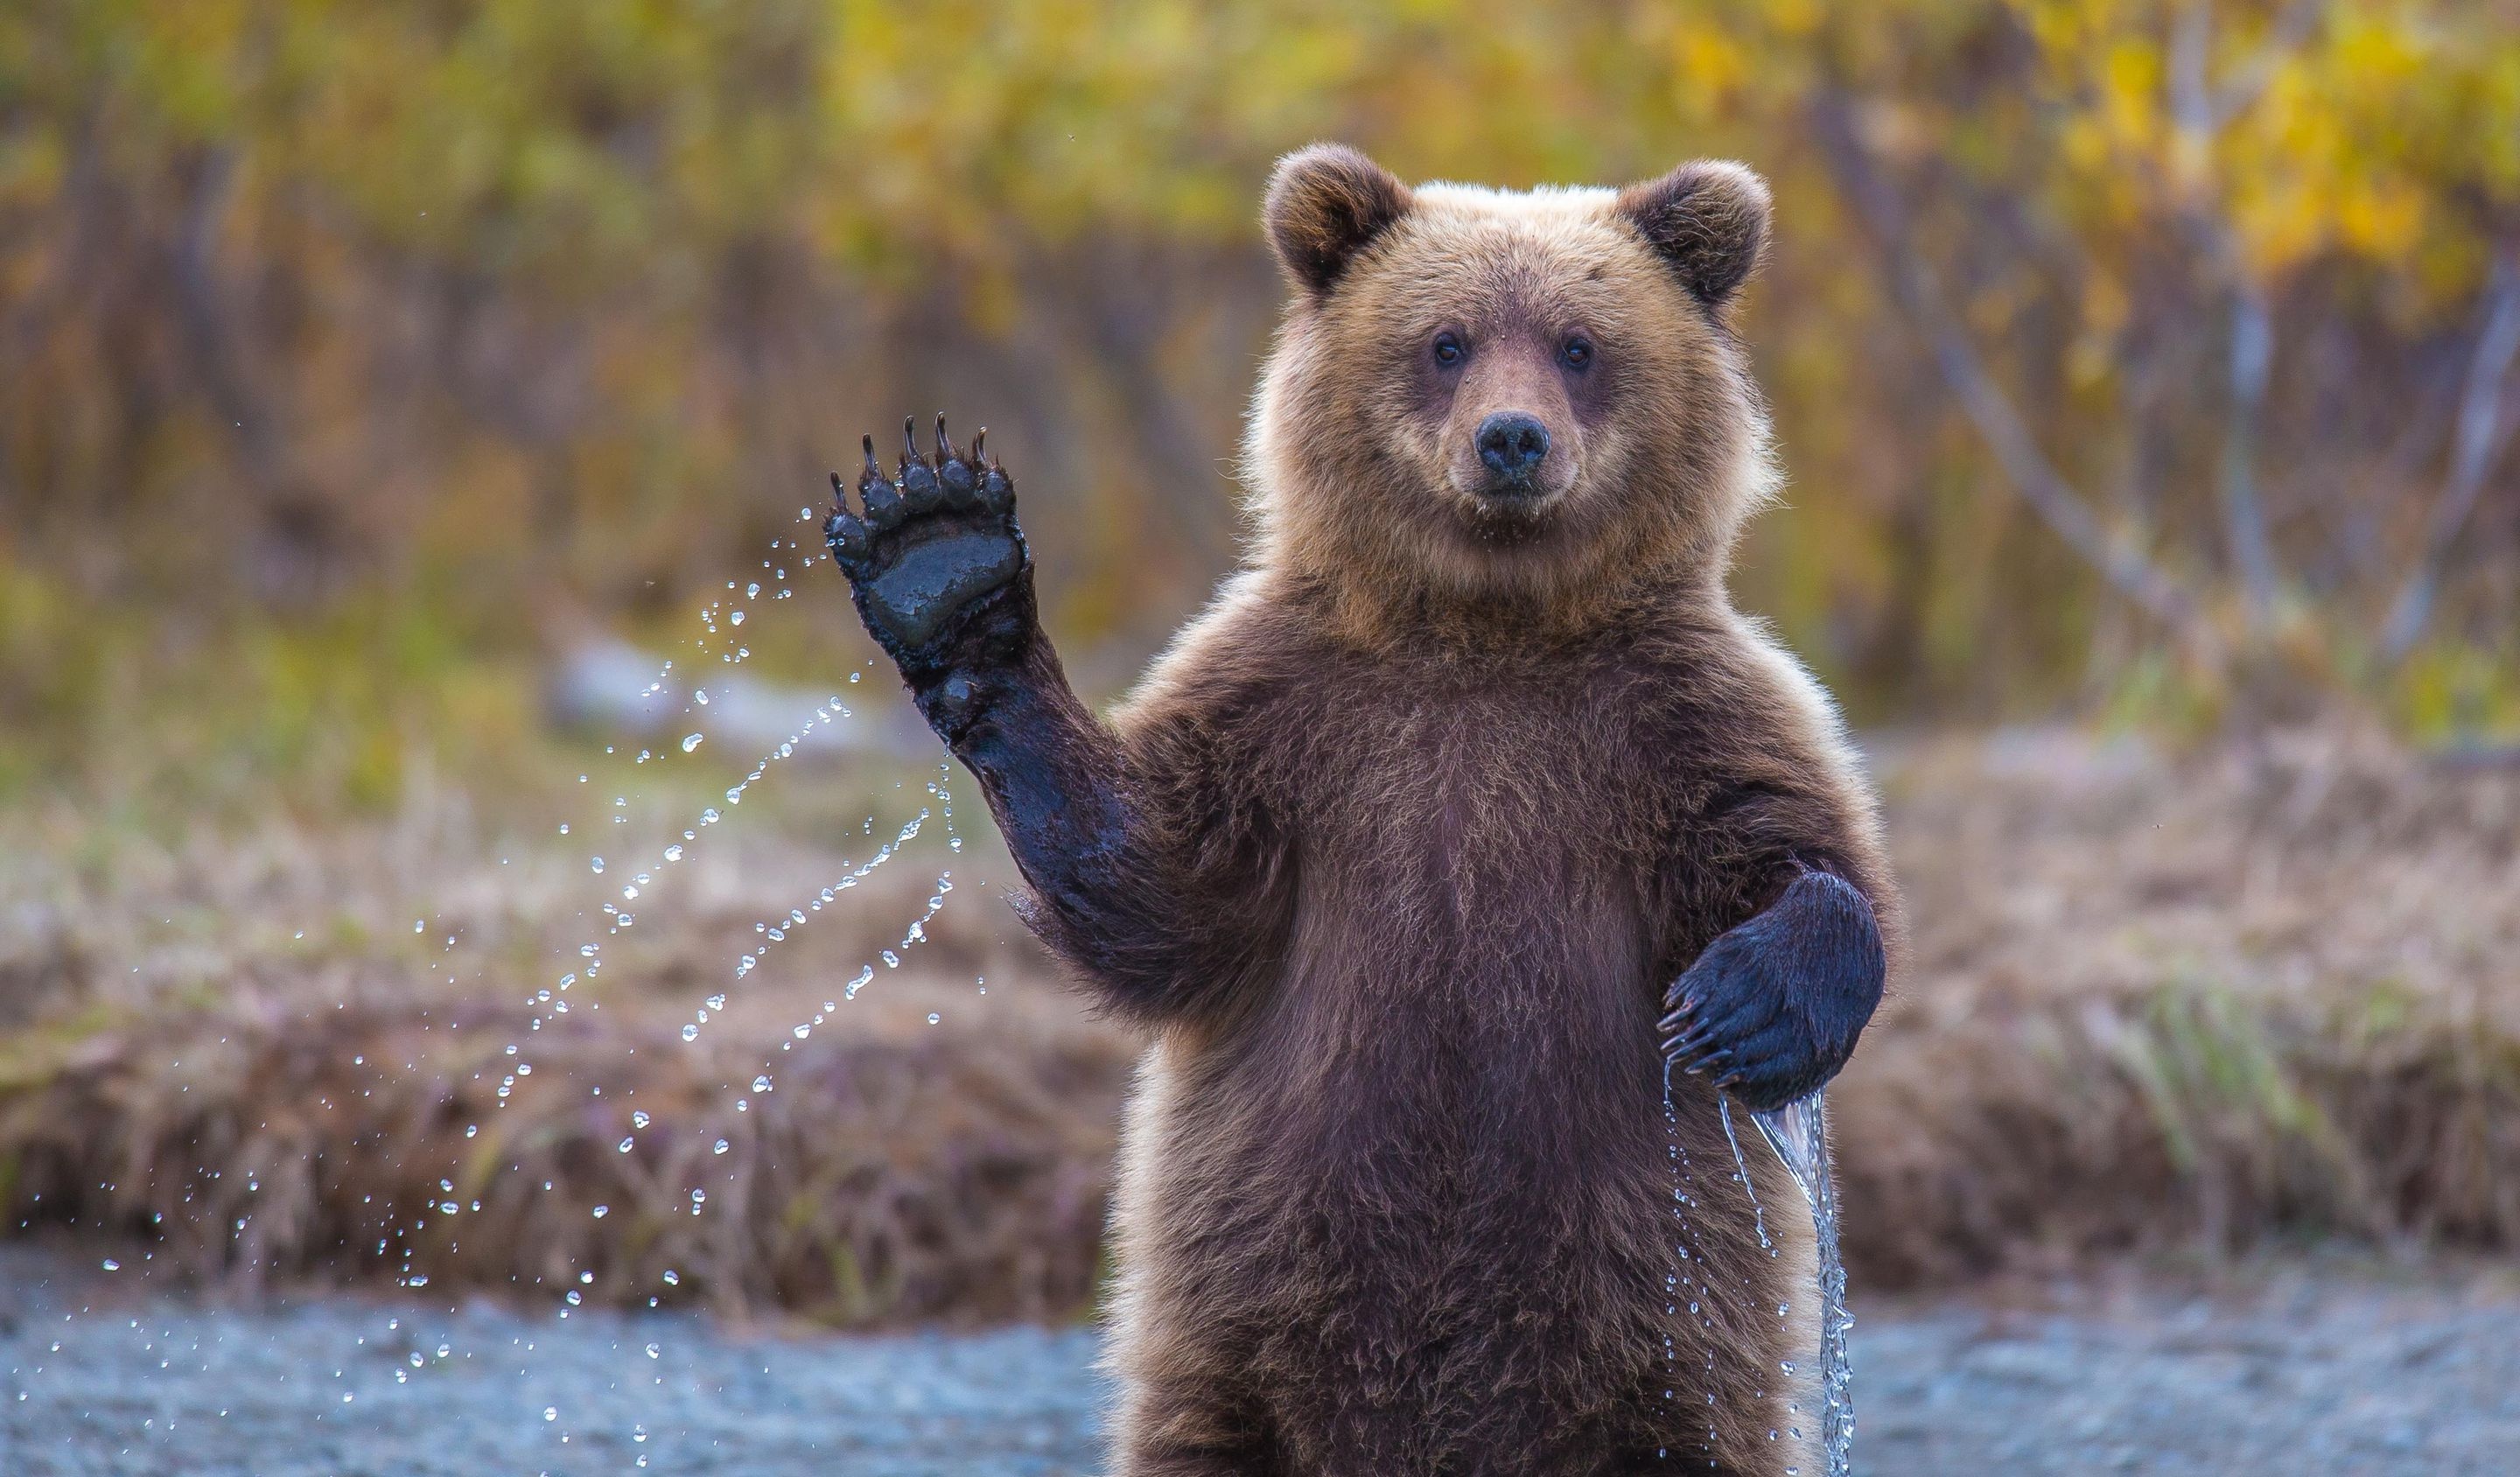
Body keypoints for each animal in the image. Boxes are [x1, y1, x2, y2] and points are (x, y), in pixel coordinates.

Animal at [816, 141, 1894, 1472]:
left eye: (1579, 343)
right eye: (1447, 340)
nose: (1512, 440)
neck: (1486, 628)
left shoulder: (1674, 719)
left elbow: (1797, 848)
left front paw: (1745, 1005)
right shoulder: (1294, 719)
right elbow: (1158, 891)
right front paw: (940, 554)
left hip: (1662, 1337)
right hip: (1237, 1328)